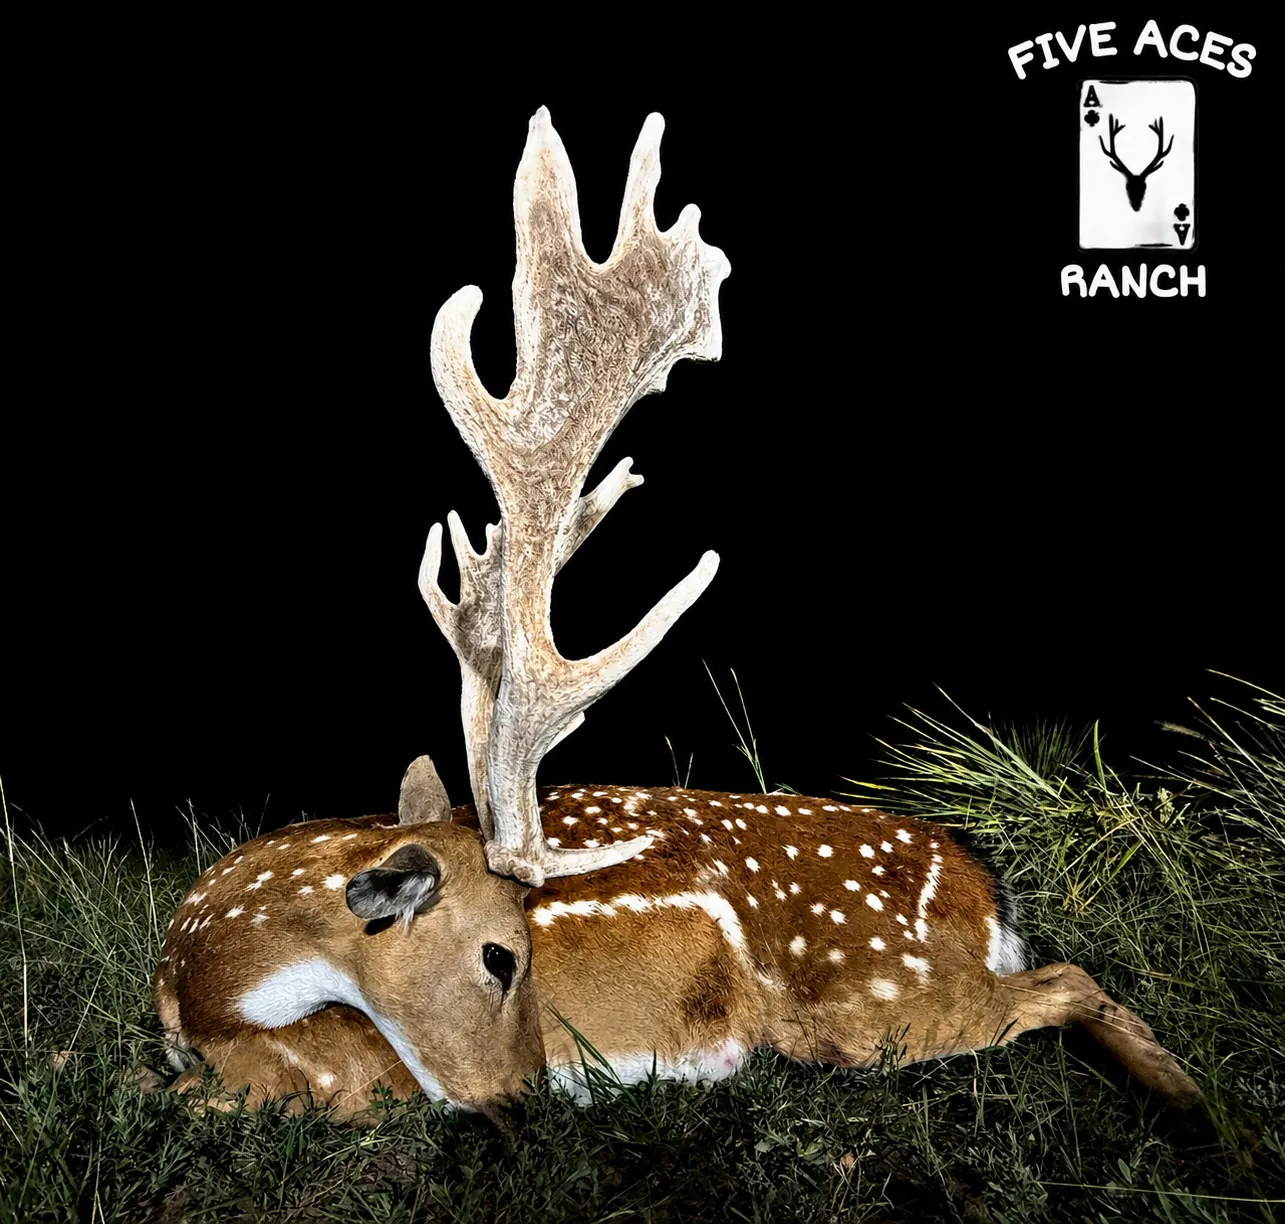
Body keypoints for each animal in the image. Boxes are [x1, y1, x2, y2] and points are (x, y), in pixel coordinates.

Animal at [155, 107, 1203, 1125]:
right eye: (497, 956)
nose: (530, 1095)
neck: (195, 975)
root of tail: (983, 886)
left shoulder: (348, 1063)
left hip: (870, 996)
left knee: (1066, 978)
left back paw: (1194, 1106)